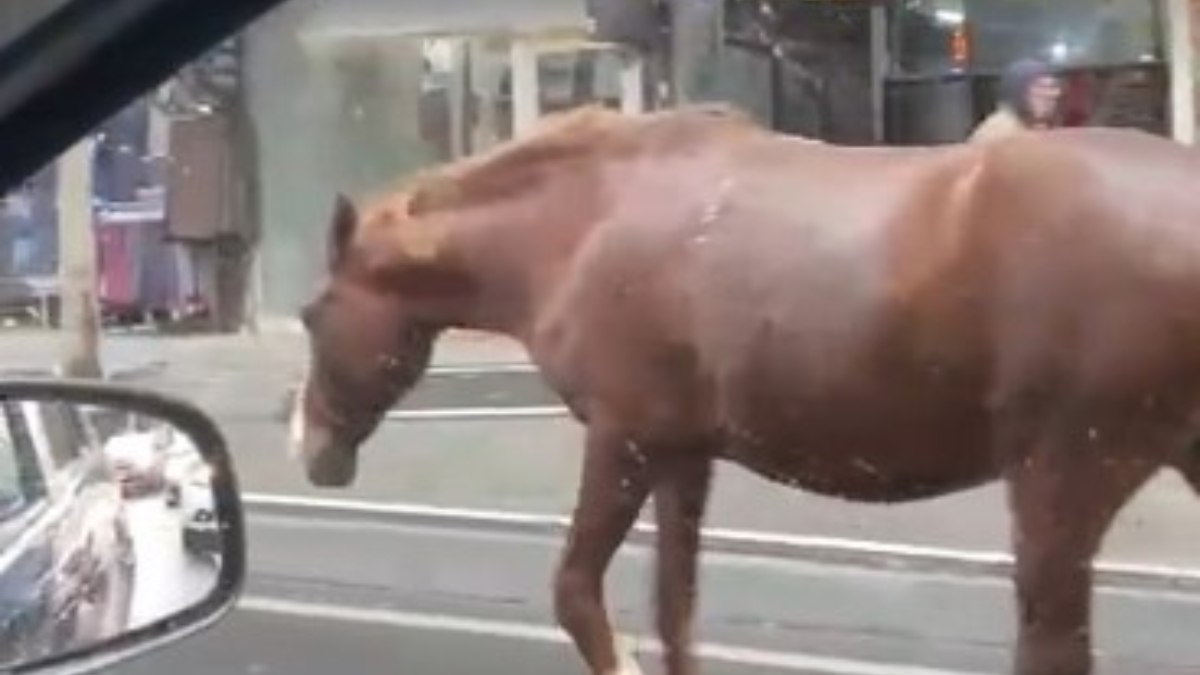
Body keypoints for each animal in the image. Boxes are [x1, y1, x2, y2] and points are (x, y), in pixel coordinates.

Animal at [288, 100, 1200, 672]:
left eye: (310, 311)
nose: (309, 445)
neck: (580, 225)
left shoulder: (623, 437)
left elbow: (578, 593)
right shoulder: (683, 453)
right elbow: (675, 613)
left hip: (1064, 477)